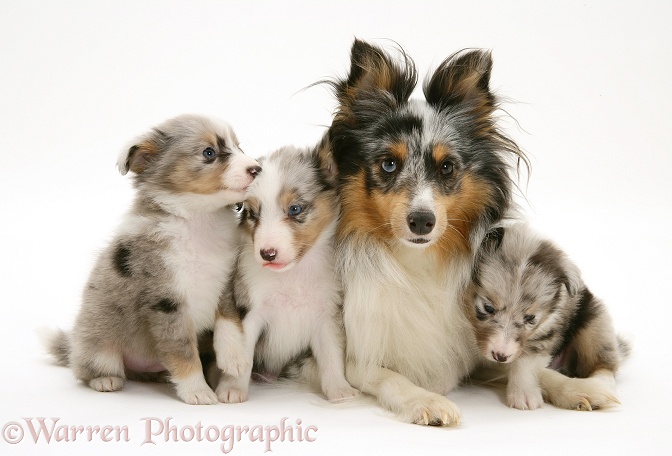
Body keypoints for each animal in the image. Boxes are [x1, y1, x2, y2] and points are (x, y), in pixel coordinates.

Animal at [217, 143, 360, 402]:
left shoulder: (326, 316)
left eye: (295, 209)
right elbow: (244, 353)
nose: (267, 253)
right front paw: (233, 387)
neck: (293, 274)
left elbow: (331, 356)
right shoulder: (251, 312)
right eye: (252, 214)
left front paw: (340, 390)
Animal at [468, 223, 632, 412]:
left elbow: (525, 362)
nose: (501, 357)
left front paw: (524, 394)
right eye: (487, 308)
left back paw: (598, 384)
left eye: (530, 318)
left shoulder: (546, 331)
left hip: (595, 323)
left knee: (604, 364)